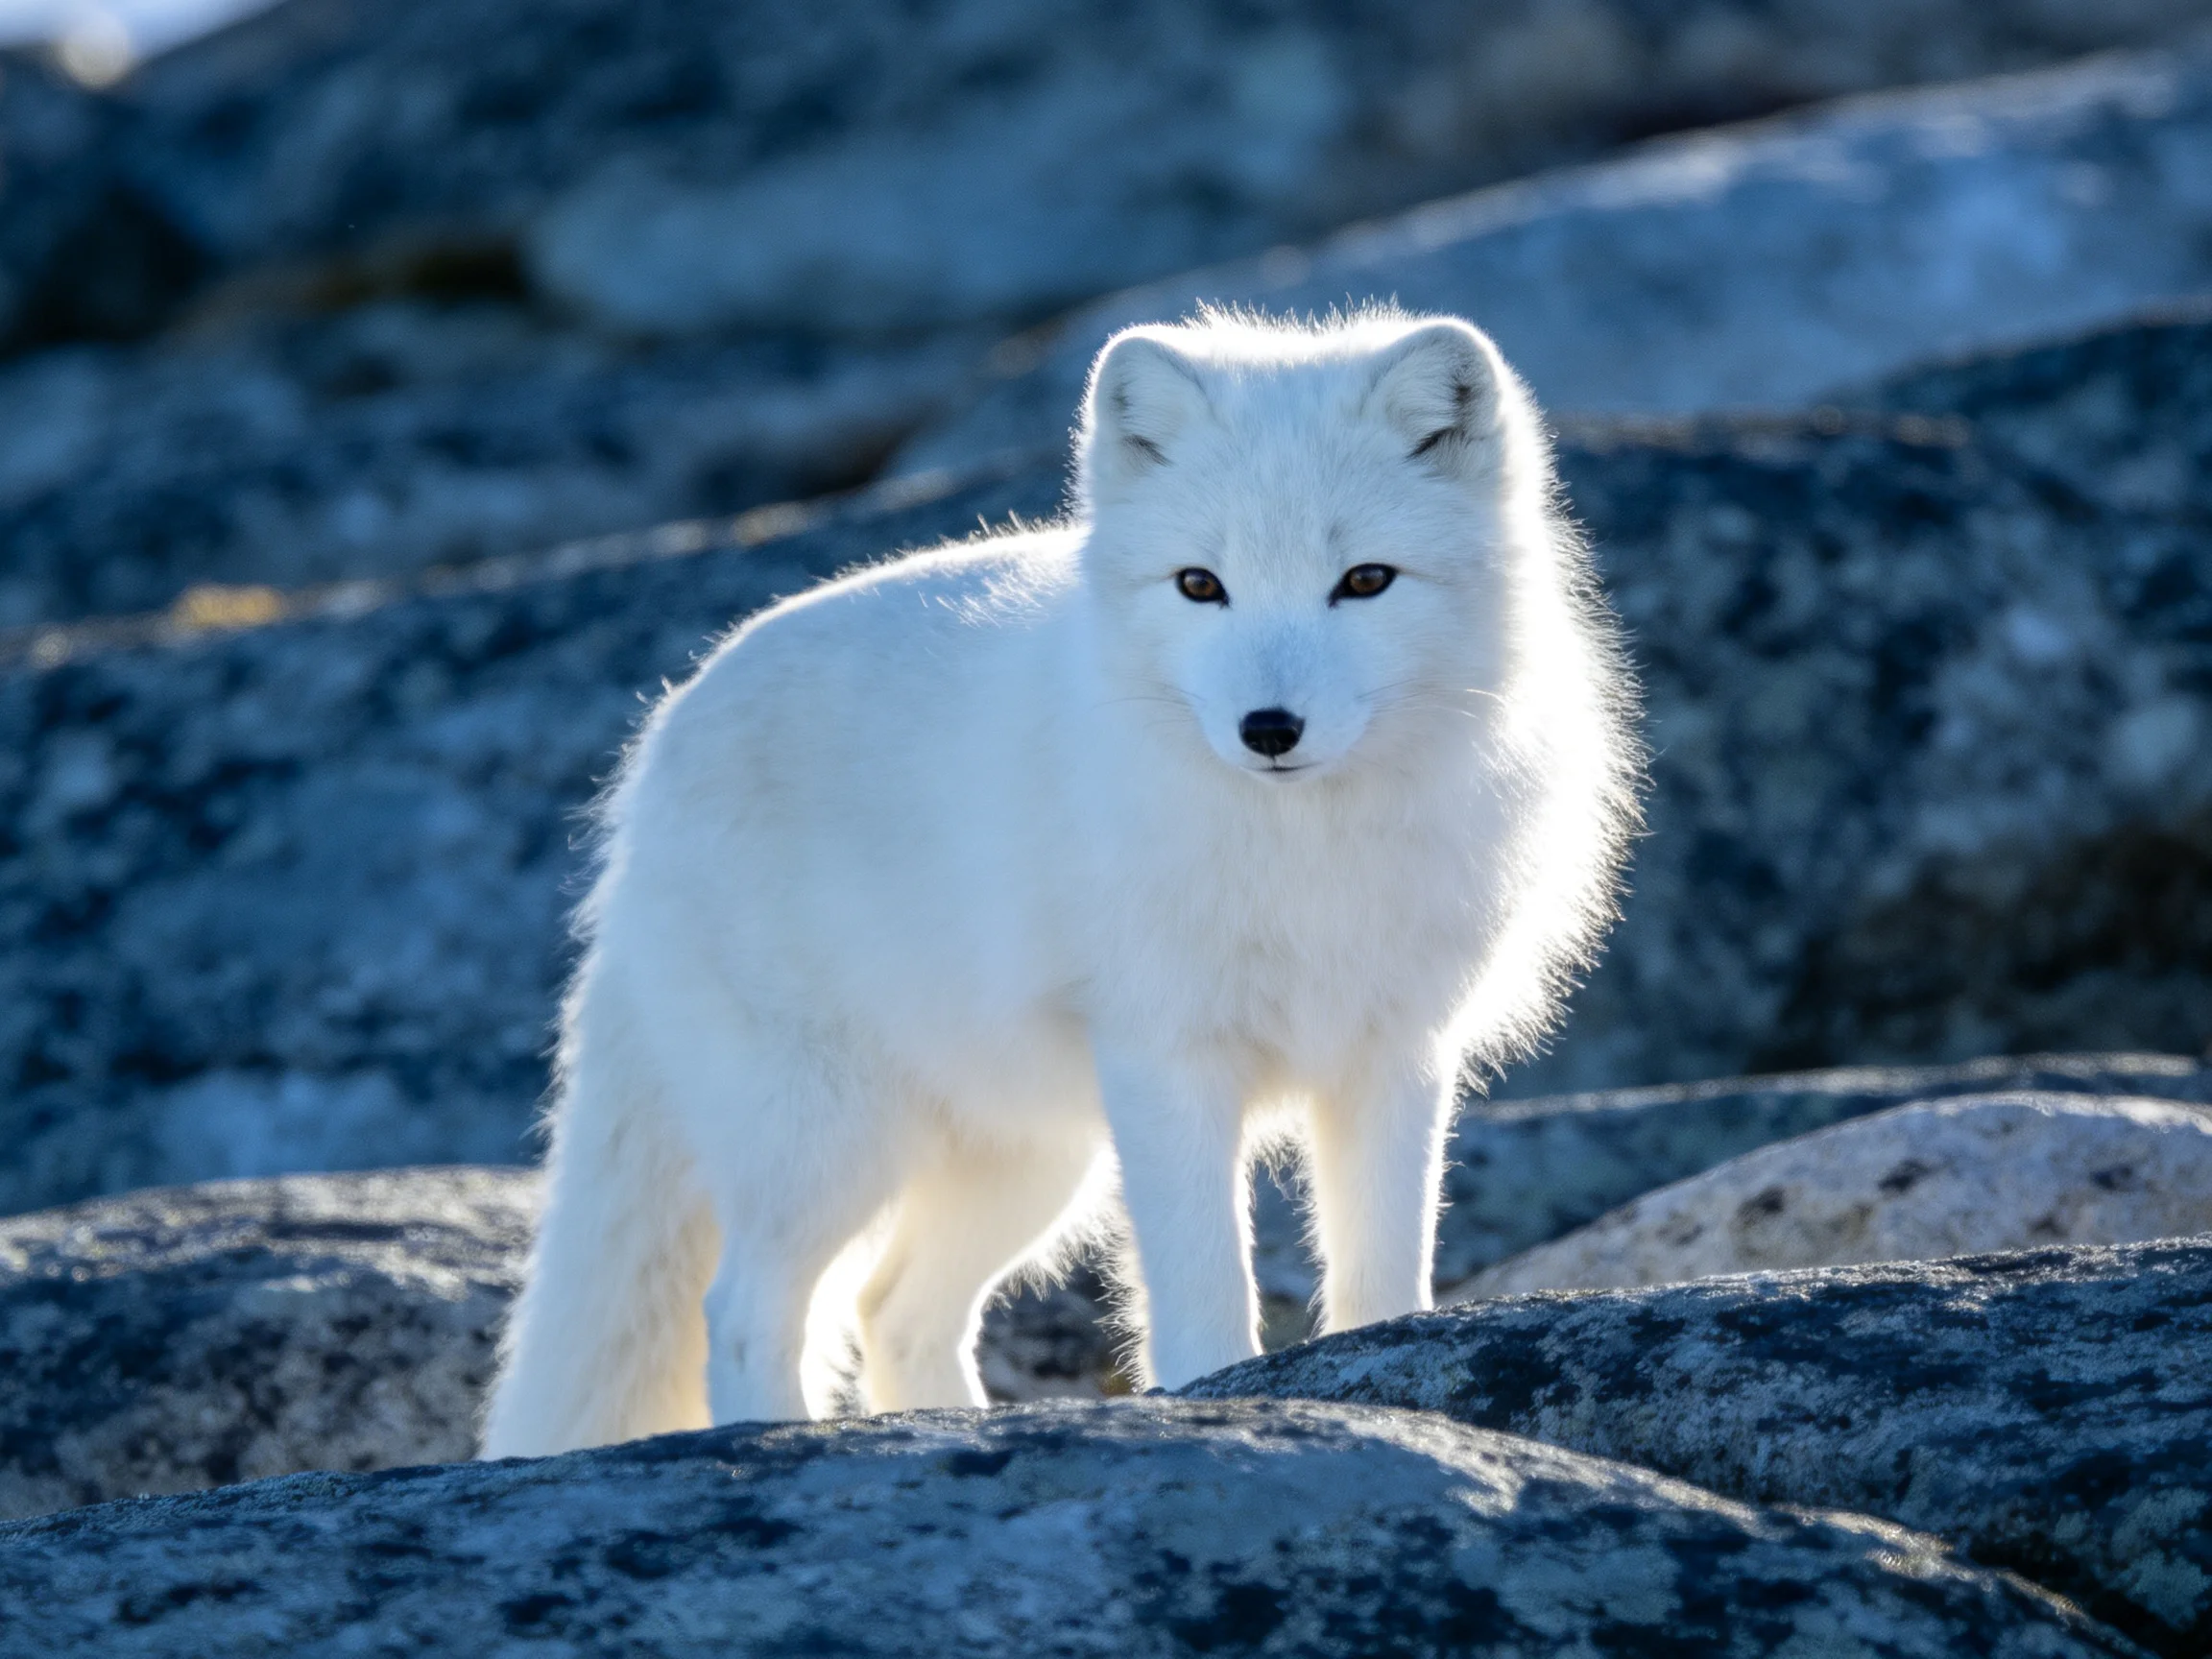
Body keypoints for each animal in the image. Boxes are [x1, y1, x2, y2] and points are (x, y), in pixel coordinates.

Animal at [480, 309, 1639, 1456]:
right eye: (1200, 584)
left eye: (1365, 580)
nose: (1268, 730)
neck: (1304, 854)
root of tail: (660, 738)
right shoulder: (1165, 1057)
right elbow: (1201, 1290)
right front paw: (1224, 1404)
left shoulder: (1394, 1054)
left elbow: (1384, 1273)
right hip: (833, 1138)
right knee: (746, 1311)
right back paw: (778, 1439)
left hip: (1029, 1155)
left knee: (894, 1310)